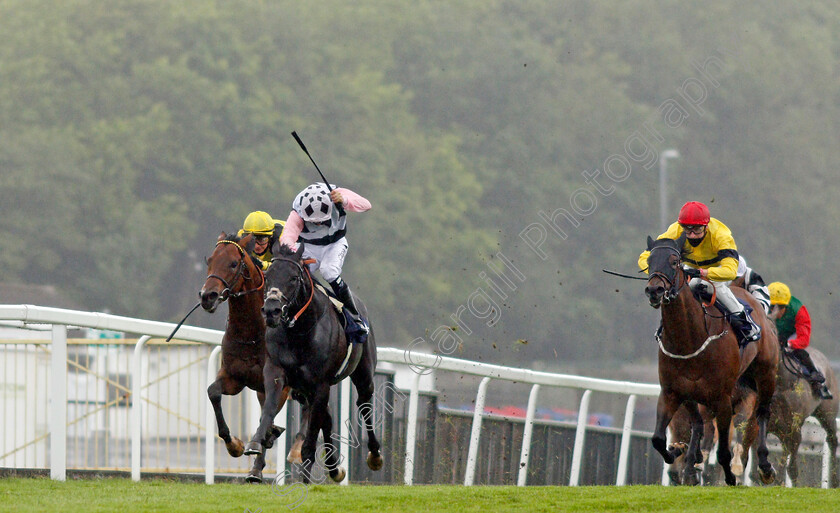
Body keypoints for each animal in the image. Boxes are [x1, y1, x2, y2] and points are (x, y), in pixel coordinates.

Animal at [199, 231, 286, 480]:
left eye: (233, 263)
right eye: (209, 261)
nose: (207, 296)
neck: (252, 332)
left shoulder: (280, 383)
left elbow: (268, 415)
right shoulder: (235, 377)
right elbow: (213, 392)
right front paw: (234, 445)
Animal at [644, 234, 780, 486]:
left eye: (675, 261)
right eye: (648, 261)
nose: (654, 290)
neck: (689, 338)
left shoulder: (723, 399)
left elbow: (725, 450)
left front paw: (730, 476)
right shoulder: (672, 391)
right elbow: (658, 439)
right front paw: (678, 452)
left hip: (766, 374)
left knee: (762, 413)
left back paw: (765, 466)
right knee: (697, 423)